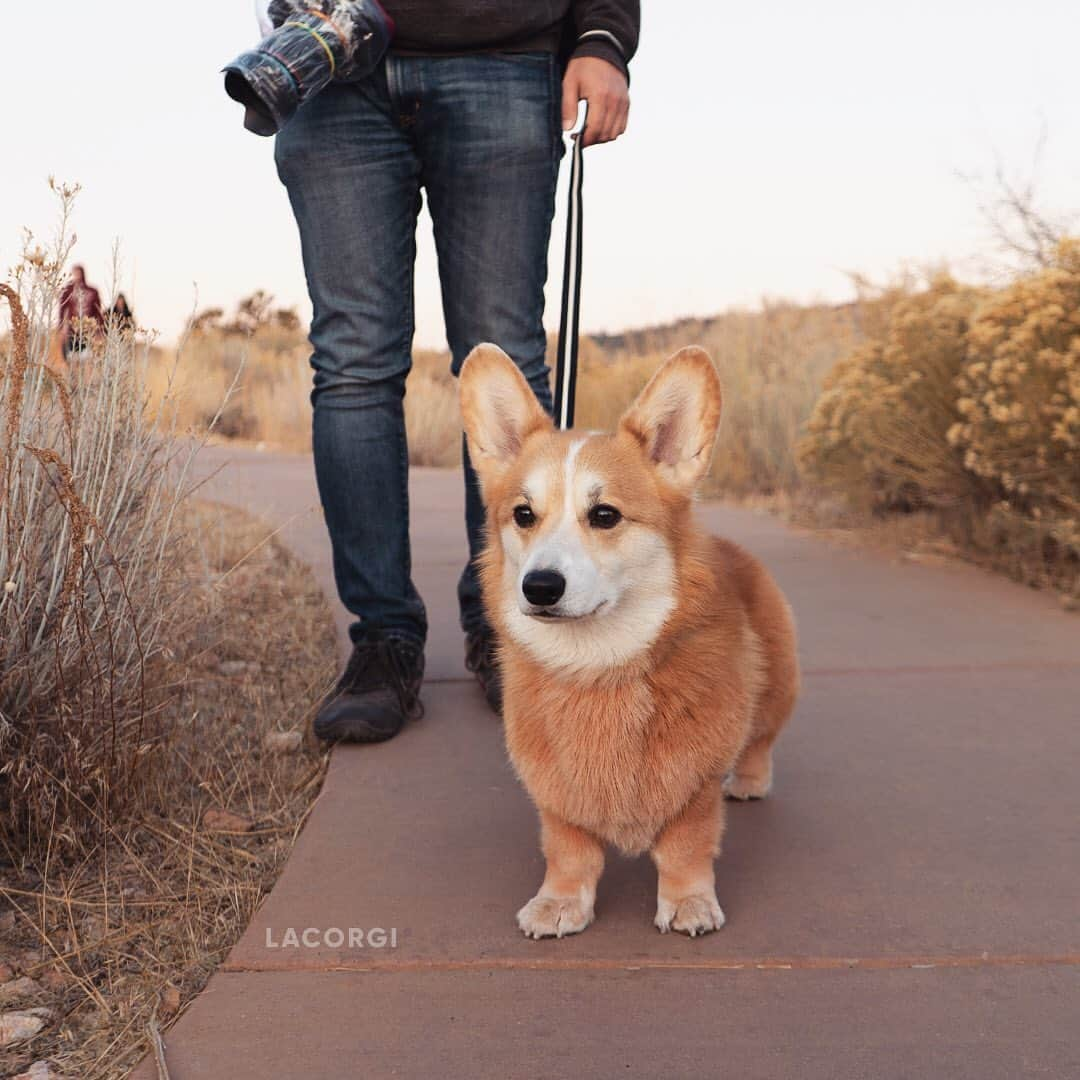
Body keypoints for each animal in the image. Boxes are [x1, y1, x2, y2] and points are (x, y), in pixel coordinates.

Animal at [460, 343, 799, 937]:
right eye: (524, 515)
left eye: (605, 515)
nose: (539, 587)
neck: (597, 664)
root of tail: (731, 546)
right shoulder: (556, 790)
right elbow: (568, 851)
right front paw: (559, 903)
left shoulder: (694, 784)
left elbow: (686, 848)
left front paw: (688, 903)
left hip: (775, 685)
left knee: (761, 738)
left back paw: (750, 780)